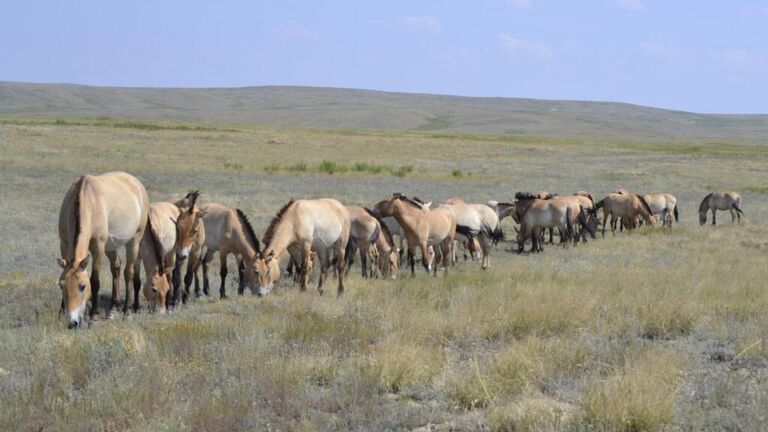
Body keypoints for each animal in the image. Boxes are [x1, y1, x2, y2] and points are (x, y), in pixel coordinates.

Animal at [57, 171, 150, 328]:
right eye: (61, 286)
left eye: (82, 286)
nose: (73, 323)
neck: (88, 201)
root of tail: (137, 184)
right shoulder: (64, 244)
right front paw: (61, 316)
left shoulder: (98, 247)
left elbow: (95, 281)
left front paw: (94, 317)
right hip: (110, 246)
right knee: (116, 266)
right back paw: (113, 309)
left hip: (134, 240)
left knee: (128, 273)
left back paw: (127, 313)